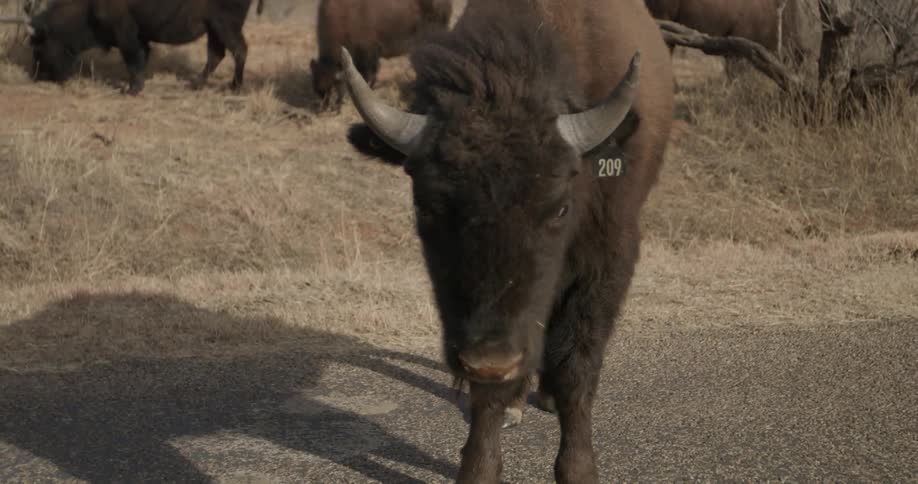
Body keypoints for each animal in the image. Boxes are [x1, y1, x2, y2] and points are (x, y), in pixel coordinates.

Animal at [0, 0, 265, 95]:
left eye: (38, 47)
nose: (39, 77)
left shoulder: (126, 34)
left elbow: (132, 60)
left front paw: (131, 89)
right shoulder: (140, 37)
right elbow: (141, 59)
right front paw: (137, 85)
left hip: (224, 25)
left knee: (239, 50)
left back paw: (235, 87)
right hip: (214, 28)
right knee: (216, 54)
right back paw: (196, 84)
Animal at [342, 0, 673, 481]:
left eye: (559, 207)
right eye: (425, 206)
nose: (492, 360)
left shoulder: (608, 259)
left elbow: (578, 365)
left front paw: (578, 468)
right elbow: (487, 395)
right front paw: (479, 467)